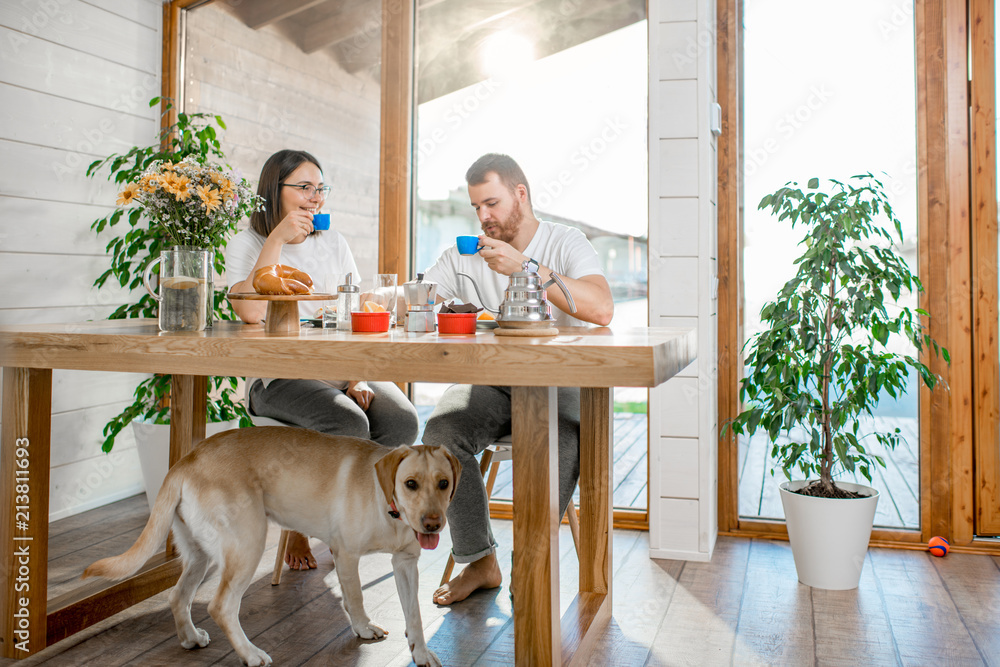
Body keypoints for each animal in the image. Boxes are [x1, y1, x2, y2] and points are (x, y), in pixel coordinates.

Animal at [84, 428, 458, 667]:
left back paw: (190, 638)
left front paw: (420, 653)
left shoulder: (406, 564)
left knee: (178, 596)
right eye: (410, 484)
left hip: (201, 555)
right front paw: (363, 628)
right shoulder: (347, 555)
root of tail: (187, 460)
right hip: (248, 544)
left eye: (444, 483)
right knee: (221, 606)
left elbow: (414, 613)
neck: (390, 508)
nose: (432, 524)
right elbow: (355, 599)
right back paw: (250, 654)